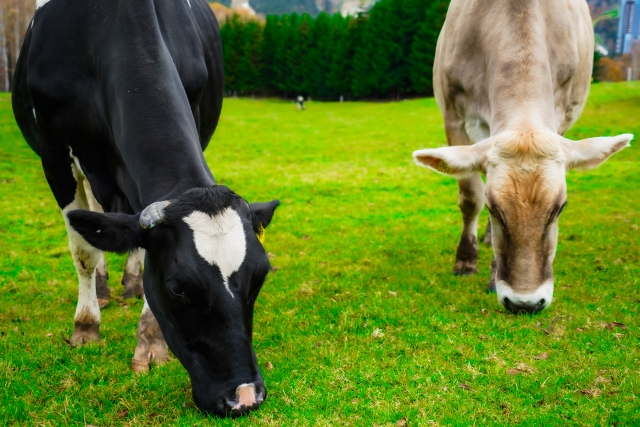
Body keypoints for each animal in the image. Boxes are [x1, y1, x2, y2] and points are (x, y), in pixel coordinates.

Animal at [13, 0, 278, 418]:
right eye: (177, 288)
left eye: (260, 277)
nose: (245, 397)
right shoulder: (54, 153)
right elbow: (84, 250)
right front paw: (85, 326)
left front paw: (150, 344)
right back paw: (103, 289)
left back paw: (132, 282)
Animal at [416, 0, 632, 314]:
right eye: (494, 208)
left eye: (560, 207)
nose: (525, 303)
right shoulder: (453, 115)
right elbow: (470, 197)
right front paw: (465, 261)